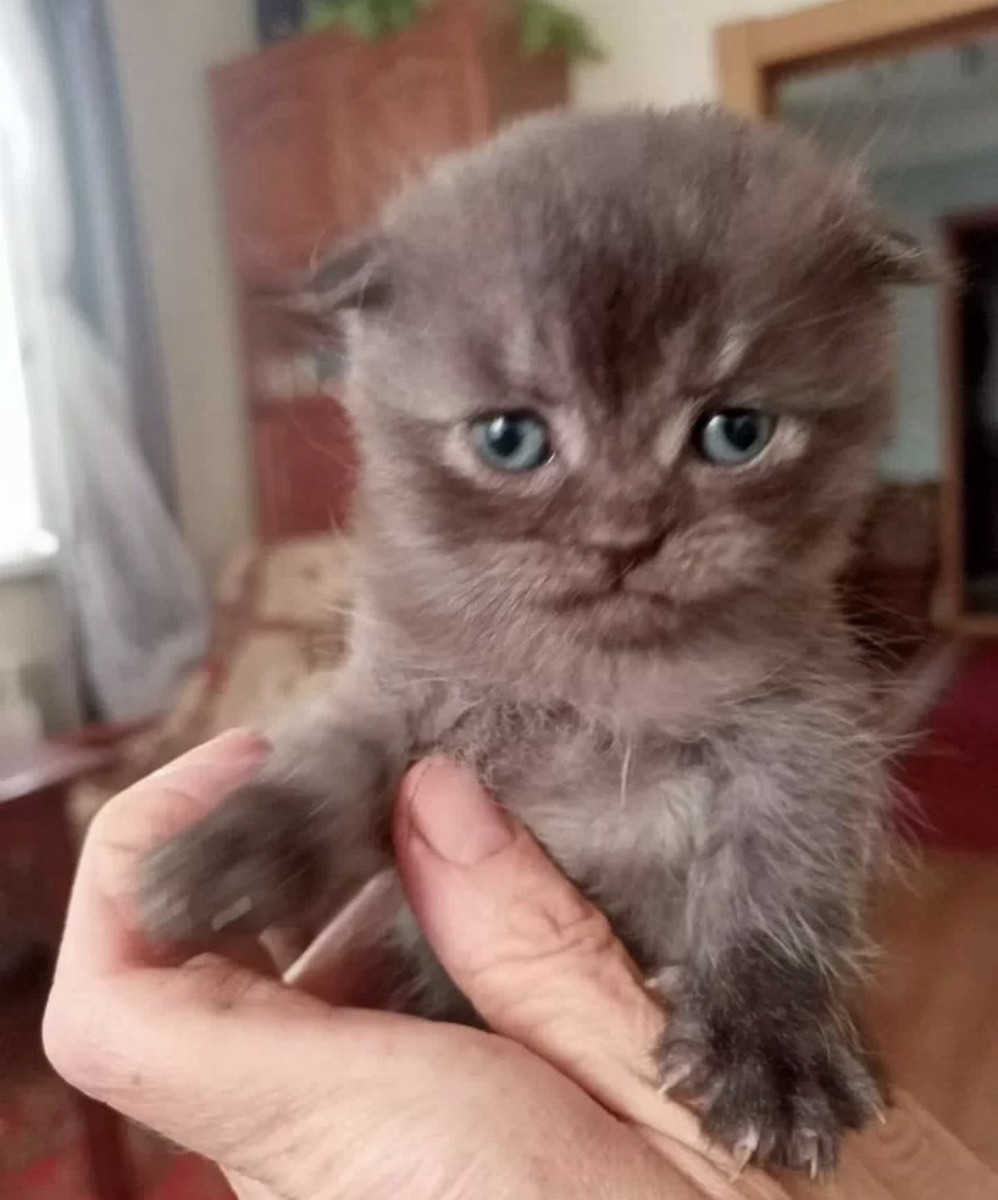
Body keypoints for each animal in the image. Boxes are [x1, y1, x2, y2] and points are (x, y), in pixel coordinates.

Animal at [138, 105, 934, 1174]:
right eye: (510, 439)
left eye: (735, 432)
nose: (626, 535)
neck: (596, 691)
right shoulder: (395, 694)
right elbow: (326, 766)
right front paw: (224, 856)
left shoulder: (807, 740)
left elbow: (782, 885)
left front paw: (771, 1047)